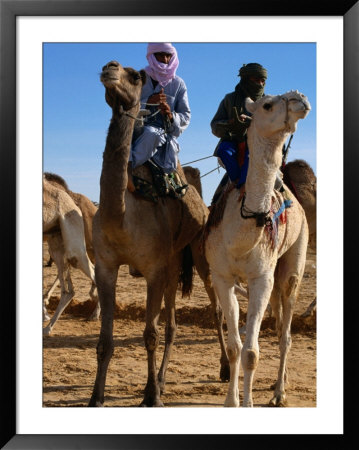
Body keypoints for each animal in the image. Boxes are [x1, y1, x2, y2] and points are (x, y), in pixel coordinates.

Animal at [90, 60, 231, 408]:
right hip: (173, 260)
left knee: (215, 308)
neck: (122, 216)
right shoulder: (106, 266)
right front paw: (96, 397)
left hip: (198, 253)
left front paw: (152, 397)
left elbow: (149, 335)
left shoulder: (153, 268)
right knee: (172, 324)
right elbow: (105, 340)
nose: (109, 67)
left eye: (134, 76)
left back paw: (222, 369)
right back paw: (163, 380)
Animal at [205, 89, 312, 406]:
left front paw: (248, 402)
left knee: (285, 332)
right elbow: (234, 347)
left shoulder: (262, 278)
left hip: (293, 259)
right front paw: (231, 401)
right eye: (267, 104)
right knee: (276, 325)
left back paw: (279, 392)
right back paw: (281, 381)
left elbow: (251, 352)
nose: (300, 98)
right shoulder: (222, 277)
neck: (240, 233)